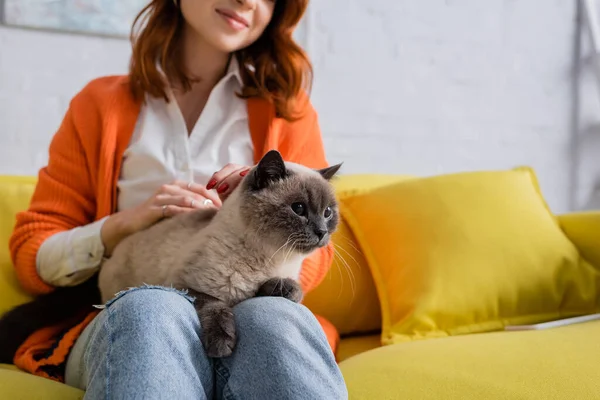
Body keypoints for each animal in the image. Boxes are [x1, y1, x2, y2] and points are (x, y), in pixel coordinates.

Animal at [98, 150, 342, 356]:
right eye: (298, 209)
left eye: (327, 213)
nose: (322, 232)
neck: (271, 257)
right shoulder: (185, 285)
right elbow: (216, 306)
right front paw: (221, 345)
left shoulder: (286, 278)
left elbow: (292, 290)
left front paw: (277, 289)